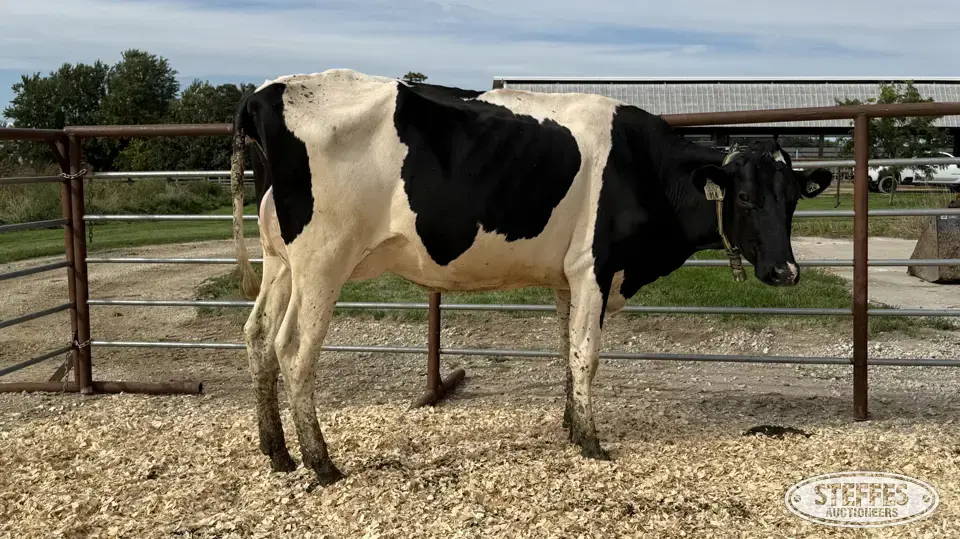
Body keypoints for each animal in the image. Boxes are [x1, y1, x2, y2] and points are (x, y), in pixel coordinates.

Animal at [229, 69, 834, 486]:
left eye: (792, 200)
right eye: (746, 198)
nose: (786, 270)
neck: (644, 168)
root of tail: (266, 92)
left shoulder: (568, 278)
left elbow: (567, 351)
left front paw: (571, 426)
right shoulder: (594, 268)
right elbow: (587, 354)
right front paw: (592, 443)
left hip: (280, 260)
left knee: (257, 336)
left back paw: (277, 453)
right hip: (322, 261)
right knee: (293, 349)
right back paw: (321, 463)